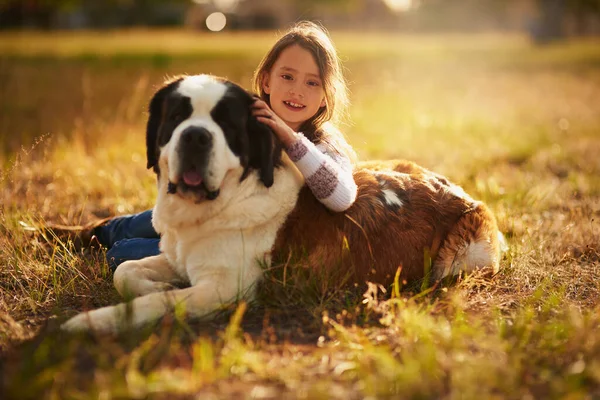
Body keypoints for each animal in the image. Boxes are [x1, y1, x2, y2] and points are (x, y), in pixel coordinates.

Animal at [61, 74, 502, 332]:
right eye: (176, 117)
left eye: (227, 124)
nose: (196, 136)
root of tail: (461, 194)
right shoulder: (180, 256)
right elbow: (127, 271)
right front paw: (153, 282)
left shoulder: (224, 290)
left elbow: (156, 302)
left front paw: (90, 321)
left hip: (467, 253)